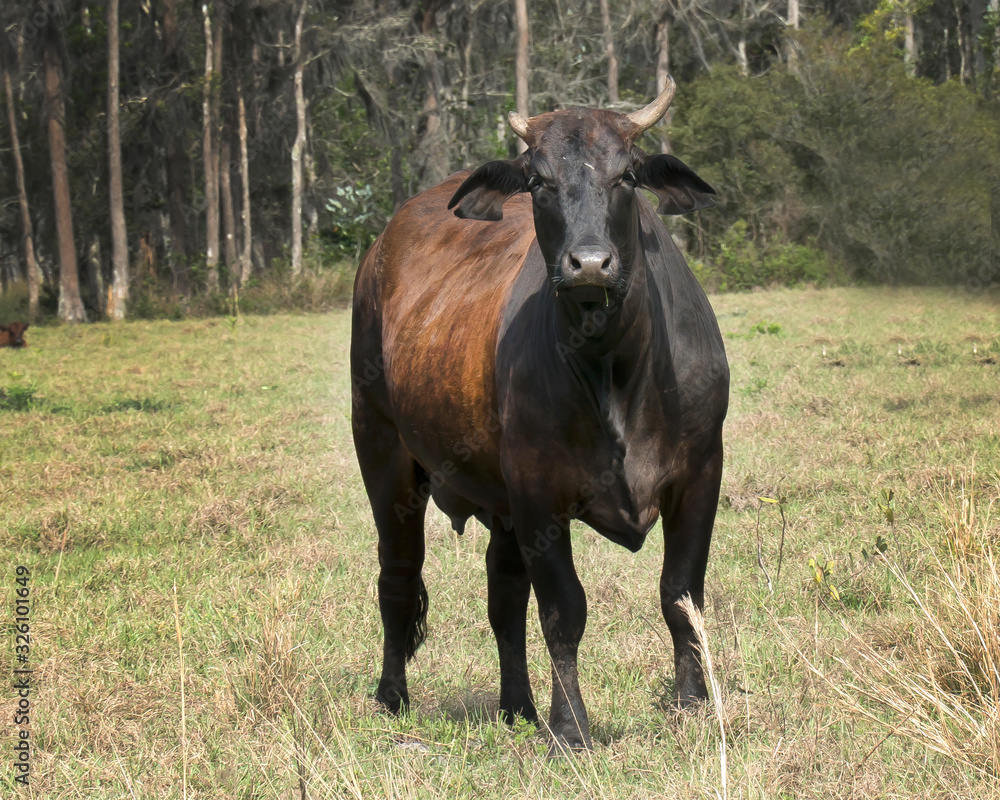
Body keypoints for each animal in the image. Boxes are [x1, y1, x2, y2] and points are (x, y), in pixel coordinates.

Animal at [352, 76, 728, 752]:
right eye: (538, 180)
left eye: (627, 174)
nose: (589, 264)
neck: (614, 371)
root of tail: (379, 252)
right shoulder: (537, 492)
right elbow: (563, 610)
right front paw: (571, 727)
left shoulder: (701, 474)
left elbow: (680, 595)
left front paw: (691, 706)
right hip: (383, 453)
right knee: (397, 577)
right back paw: (392, 697)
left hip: (496, 502)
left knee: (503, 596)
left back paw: (517, 706)